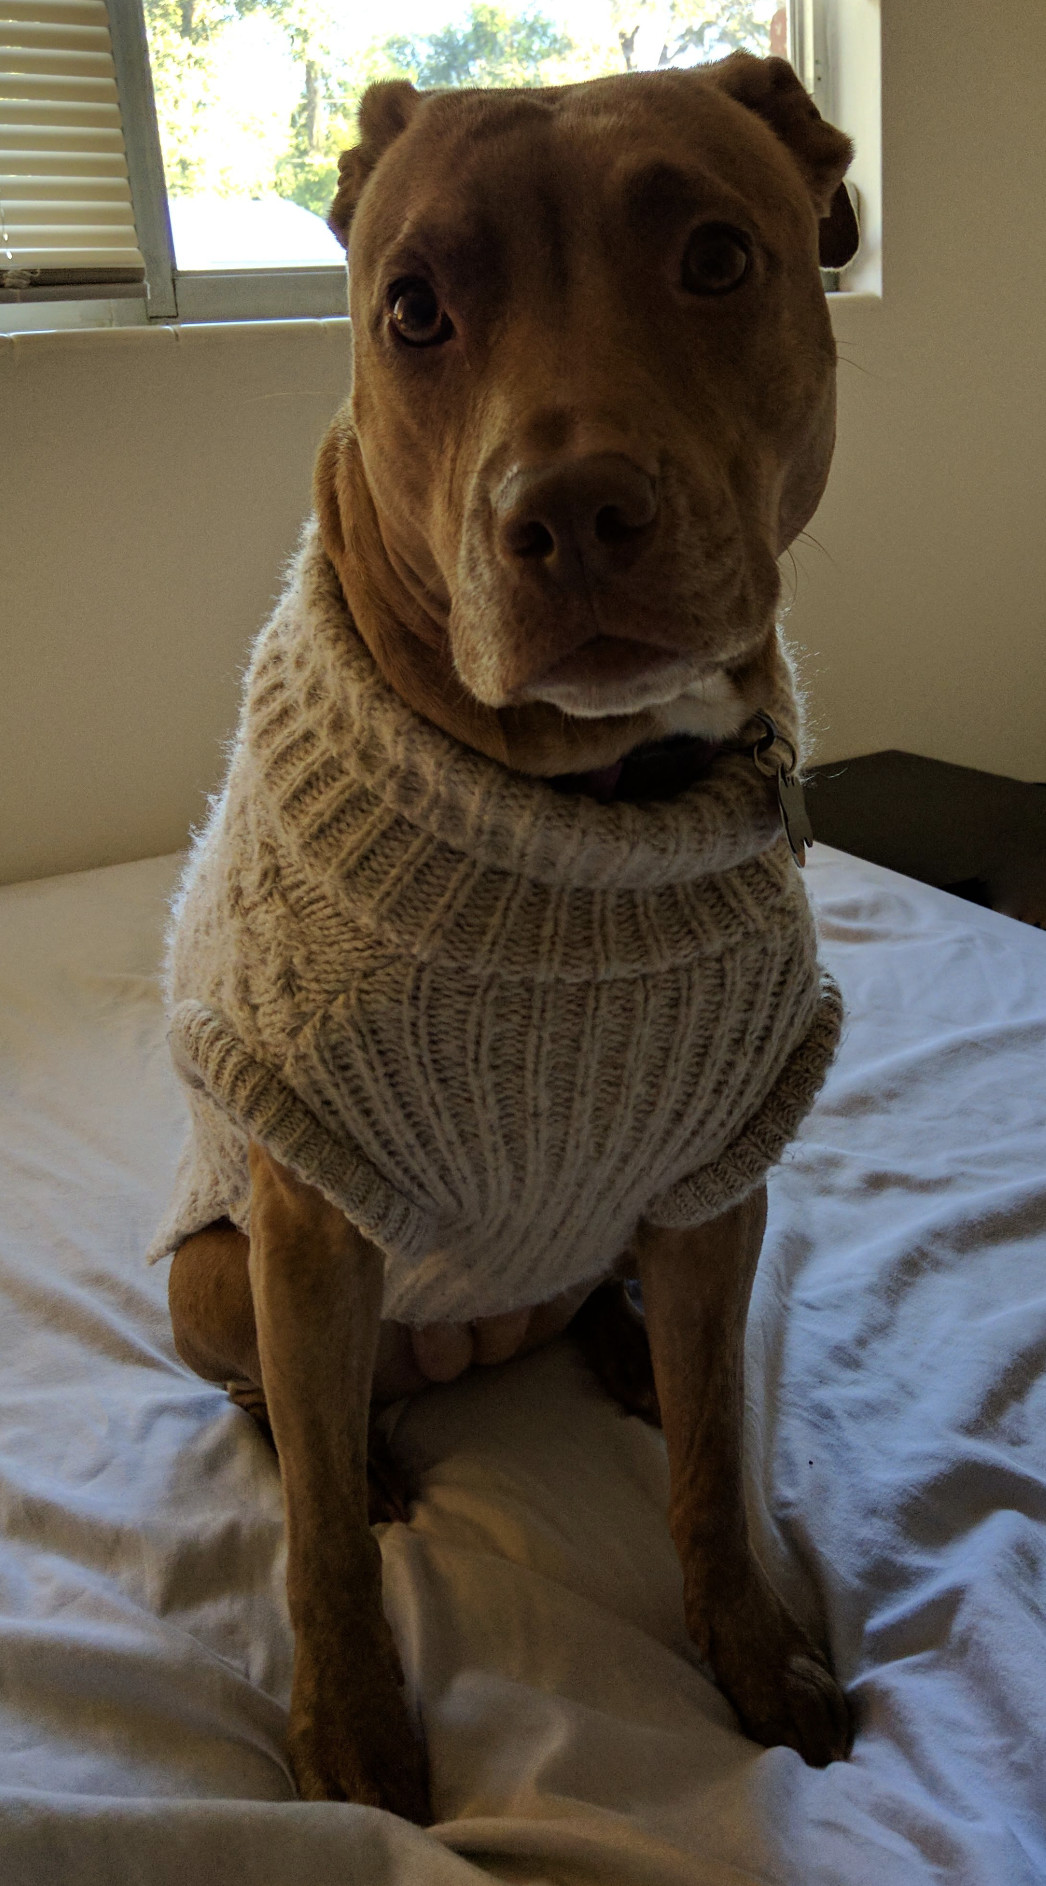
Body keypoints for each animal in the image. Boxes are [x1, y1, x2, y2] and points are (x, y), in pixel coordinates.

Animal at [169, 58, 859, 1818]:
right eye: (412, 309)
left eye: (715, 257)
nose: (572, 510)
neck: (587, 813)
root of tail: (483, 1332)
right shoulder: (307, 1211)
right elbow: (318, 1546)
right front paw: (350, 1739)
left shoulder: (719, 1171)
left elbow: (712, 1465)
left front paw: (753, 1654)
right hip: (216, 1273)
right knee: (288, 1414)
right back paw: (364, 1440)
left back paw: (619, 1350)